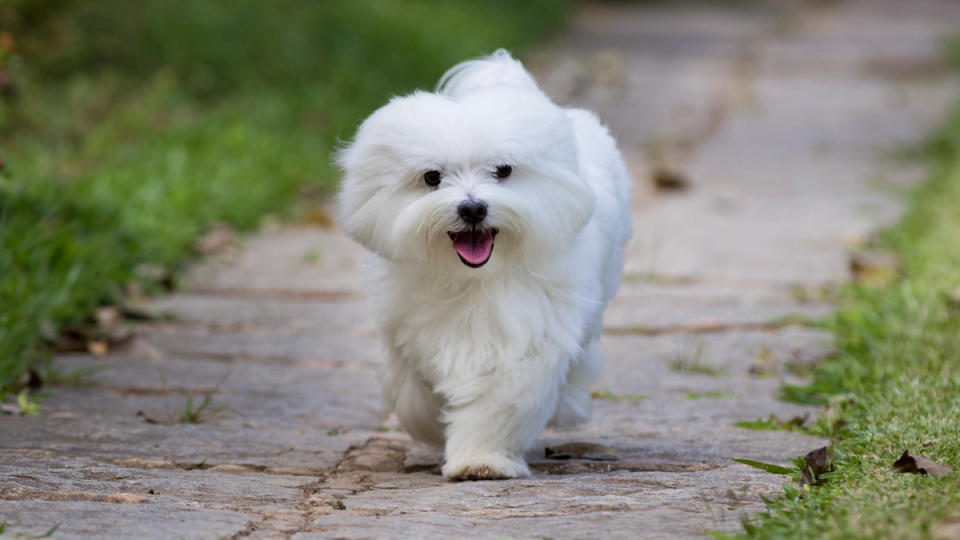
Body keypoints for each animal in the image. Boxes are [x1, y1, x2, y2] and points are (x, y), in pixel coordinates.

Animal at [336, 49, 632, 480]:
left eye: (503, 170)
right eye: (432, 177)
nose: (473, 208)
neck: (467, 280)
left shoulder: (525, 337)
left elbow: (498, 403)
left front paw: (480, 460)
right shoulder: (402, 332)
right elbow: (412, 395)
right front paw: (435, 425)